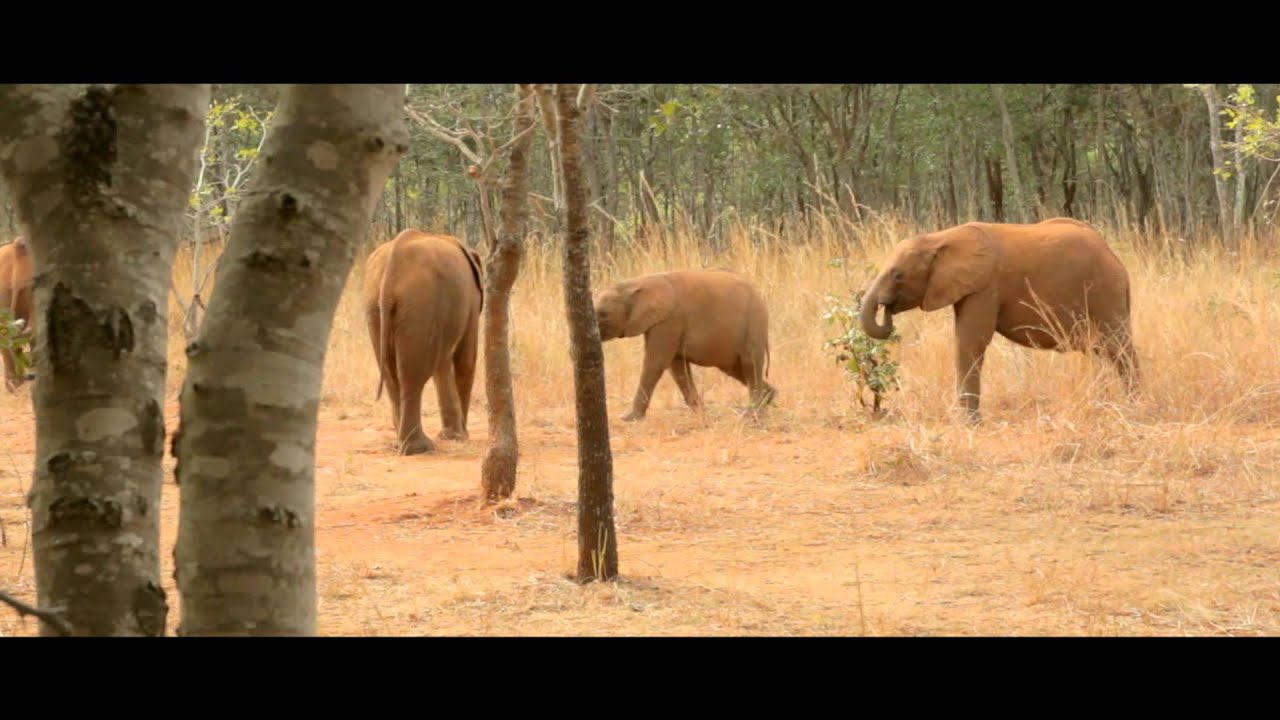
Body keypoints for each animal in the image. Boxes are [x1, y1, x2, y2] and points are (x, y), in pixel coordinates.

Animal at [364, 229, 483, 455]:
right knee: (413, 375)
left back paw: (400, 445)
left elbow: (442, 364)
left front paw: (454, 437)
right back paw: (419, 448)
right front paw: (461, 437)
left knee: (393, 374)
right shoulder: (471, 303)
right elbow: (465, 360)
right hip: (420, 302)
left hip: (377, 306)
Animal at [594, 268, 775, 421]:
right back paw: (768, 399)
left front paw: (628, 418)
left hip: (755, 323)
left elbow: (656, 363)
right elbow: (677, 368)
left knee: (750, 365)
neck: (637, 282)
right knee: (737, 369)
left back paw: (751, 414)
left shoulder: (669, 321)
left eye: (603, 314)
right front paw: (702, 413)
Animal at [859, 217, 1139, 424]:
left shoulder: (985, 286)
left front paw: (970, 424)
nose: (887, 308)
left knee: (1118, 347)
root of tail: (1116, 259)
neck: (939, 238)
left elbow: (971, 341)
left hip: (1104, 289)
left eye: (897, 275)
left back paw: (1134, 406)